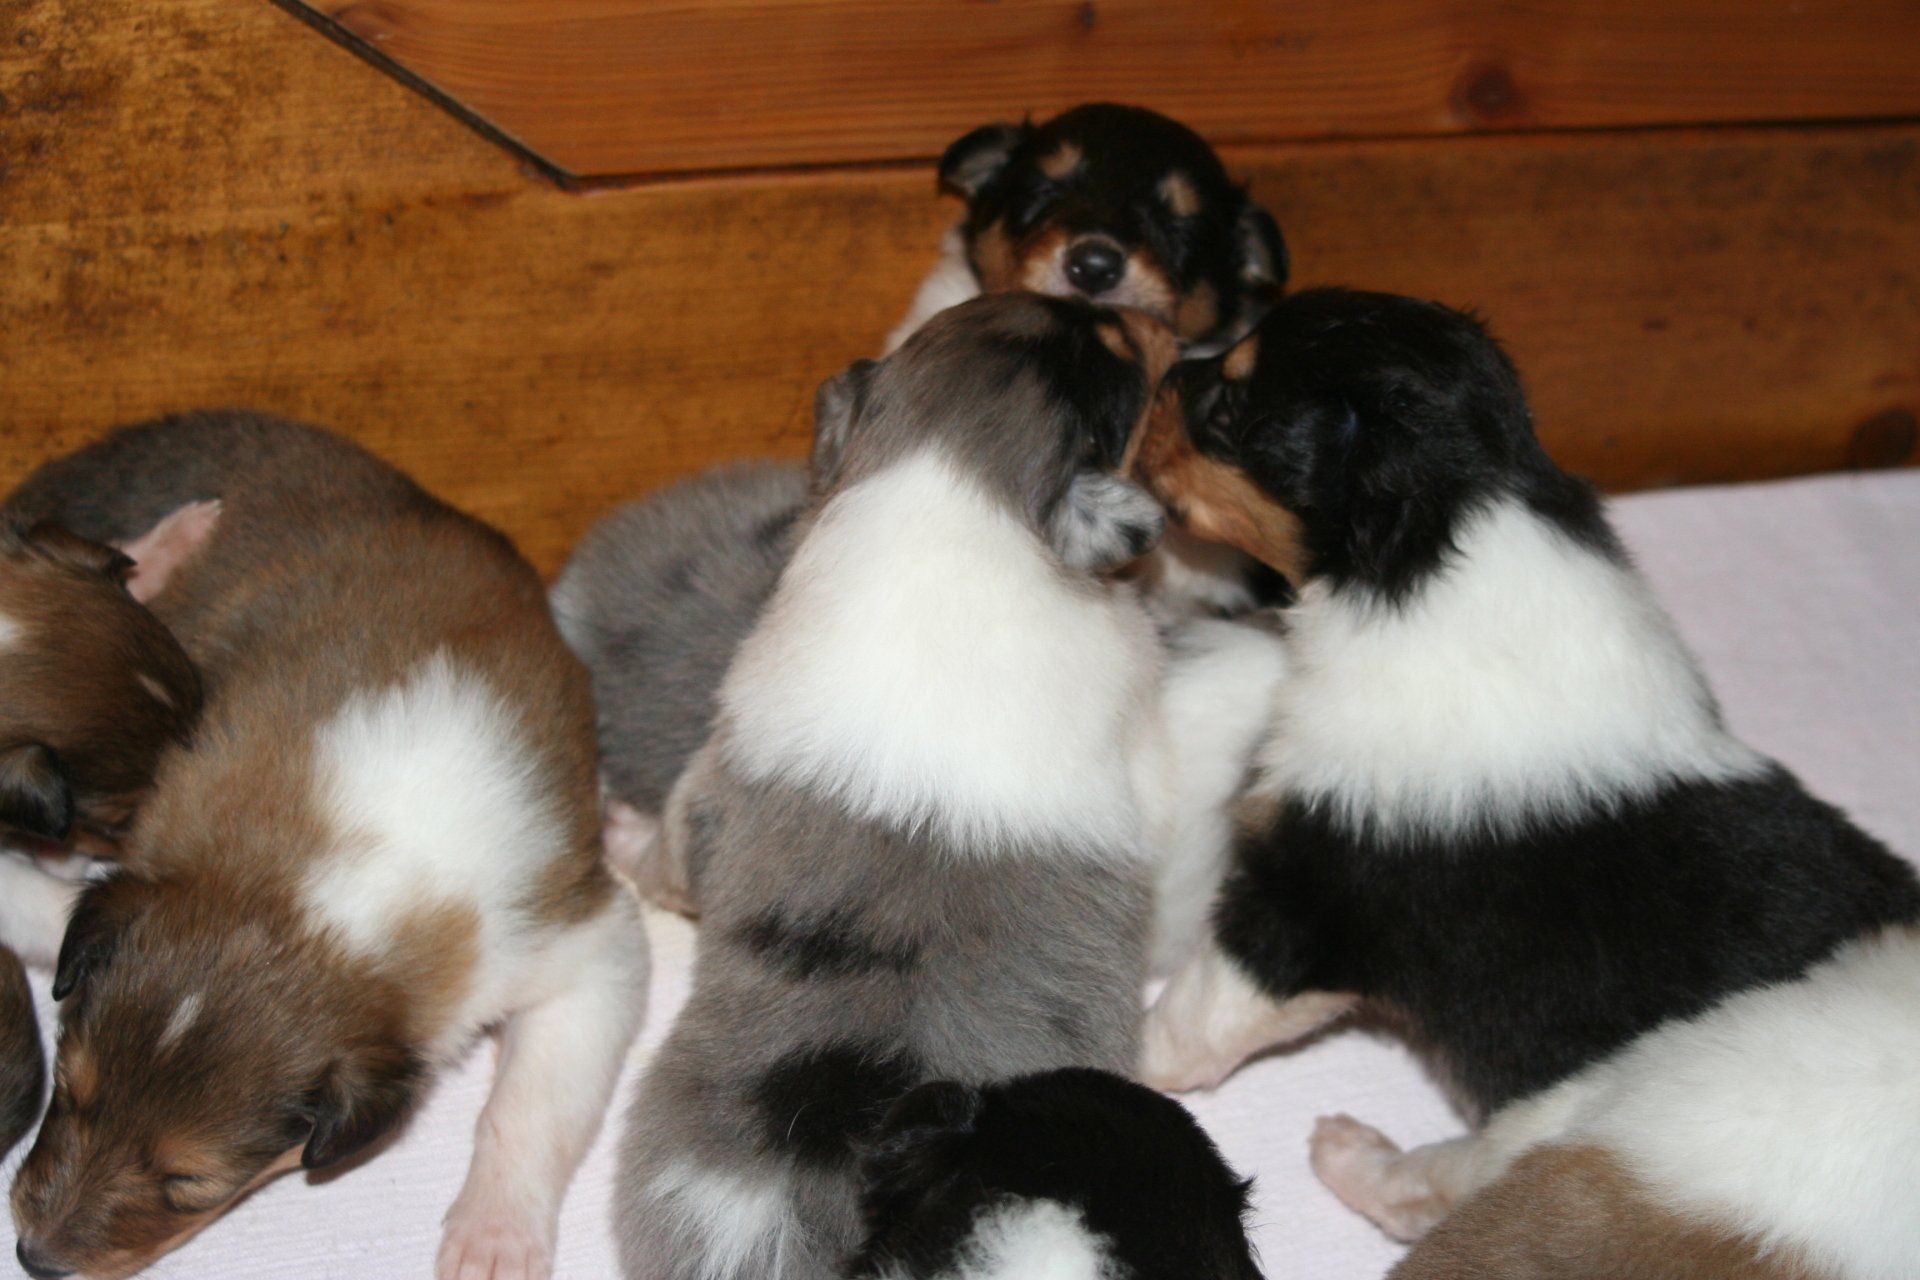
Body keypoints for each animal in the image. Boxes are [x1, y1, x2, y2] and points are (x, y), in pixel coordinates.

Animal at [5, 411, 648, 1280]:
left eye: (189, 1184)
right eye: (68, 1093)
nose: (34, 1257)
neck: (318, 893)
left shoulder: (580, 945)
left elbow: (529, 1109)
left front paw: (493, 1239)